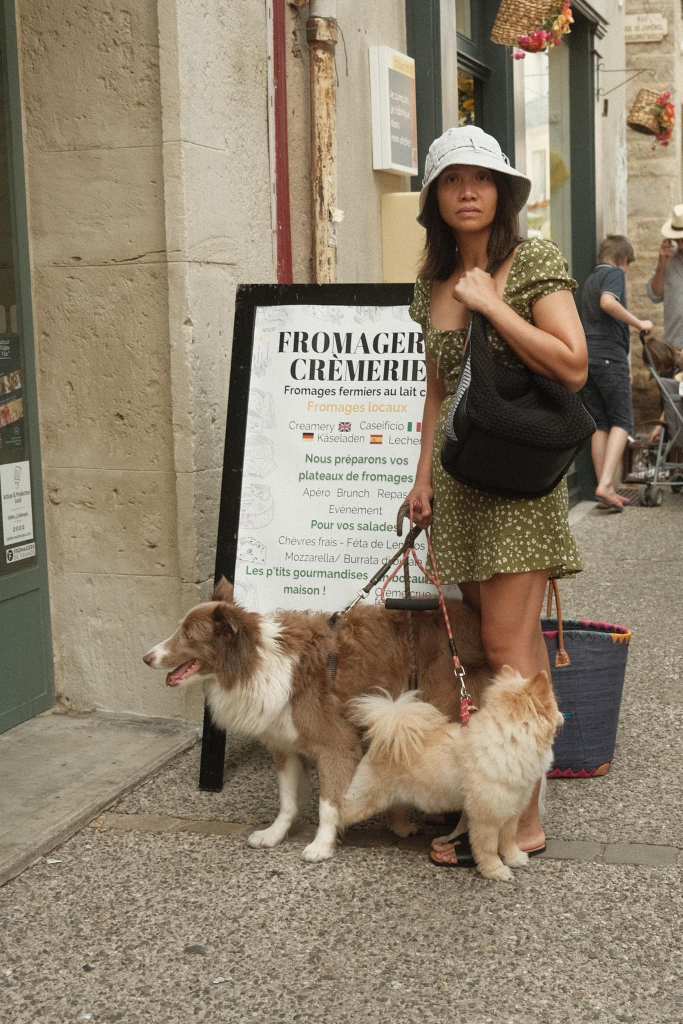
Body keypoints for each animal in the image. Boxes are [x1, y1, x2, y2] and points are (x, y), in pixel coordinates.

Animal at [142, 578, 487, 862]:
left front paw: (322, 845)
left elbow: (329, 803)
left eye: (188, 635)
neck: (255, 663)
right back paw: (403, 823)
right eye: (179, 629)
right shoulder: (285, 746)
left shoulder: (336, 746)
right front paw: (274, 834)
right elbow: (288, 801)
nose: (146, 658)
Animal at [341, 666, 564, 881]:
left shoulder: (511, 810)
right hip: (364, 799)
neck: (511, 741)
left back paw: (404, 829)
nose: (563, 715)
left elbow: (508, 840)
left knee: (395, 812)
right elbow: (489, 849)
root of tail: (386, 738)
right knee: (340, 813)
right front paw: (496, 871)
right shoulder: (486, 818)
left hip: (399, 794)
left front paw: (515, 858)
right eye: (554, 704)